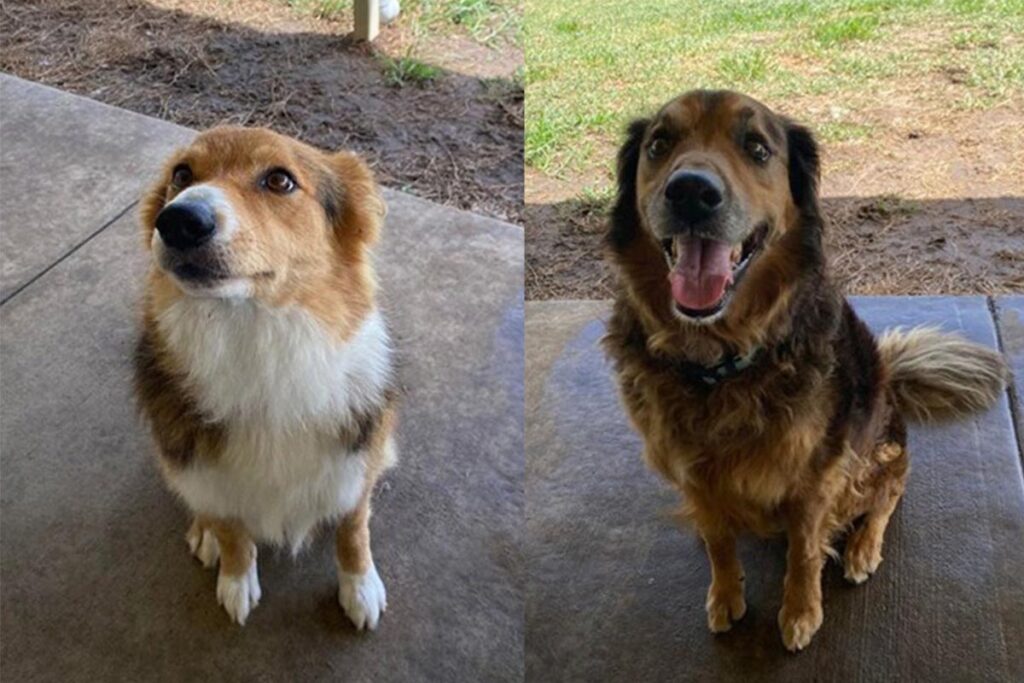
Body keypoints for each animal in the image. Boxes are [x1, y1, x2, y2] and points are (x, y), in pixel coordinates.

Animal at [133, 127, 395, 630]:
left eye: (279, 180)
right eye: (182, 174)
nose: (177, 221)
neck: (256, 335)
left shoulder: (354, 464)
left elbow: (353, 529)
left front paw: (360, 588)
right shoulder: (209, 476)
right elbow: (231, 530)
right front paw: (235, 578)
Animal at [598, 89, 1007, 651]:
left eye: (756, 148)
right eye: (659, 144)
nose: (691, 193)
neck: (719, 363)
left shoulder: (814, 476)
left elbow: (804, 552)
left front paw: (800, 612)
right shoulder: (693, 475)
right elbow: (719, 541)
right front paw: (725, 594)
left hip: (879, 453)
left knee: (887, 497)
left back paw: (862, 549)